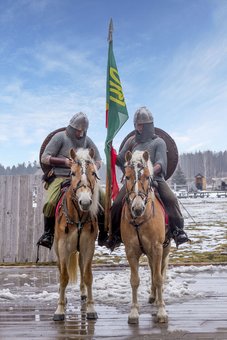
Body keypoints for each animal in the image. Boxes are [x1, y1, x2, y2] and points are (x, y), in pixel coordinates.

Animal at [53, 147, 100, 320]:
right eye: (72, 173)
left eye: (93, 173)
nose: (85, 202)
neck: (78, 217)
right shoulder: (62, 247)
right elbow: (64, 276)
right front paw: (59, 309)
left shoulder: (88, 246)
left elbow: (87, 275)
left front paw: (91, 308)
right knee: (61, 269)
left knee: (81, 267)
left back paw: (83, 293)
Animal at [120, 151, 170, 324]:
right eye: (127, 176)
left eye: (147, 177)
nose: (137, 208)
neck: (139, 220)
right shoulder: (131, 250)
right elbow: (134, 280)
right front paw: (134, 312)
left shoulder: (157, 247)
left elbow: (159, 278)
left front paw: (162, 311)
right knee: (152, 269)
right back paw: (153, 296)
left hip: (164, 249)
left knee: (160, 270)